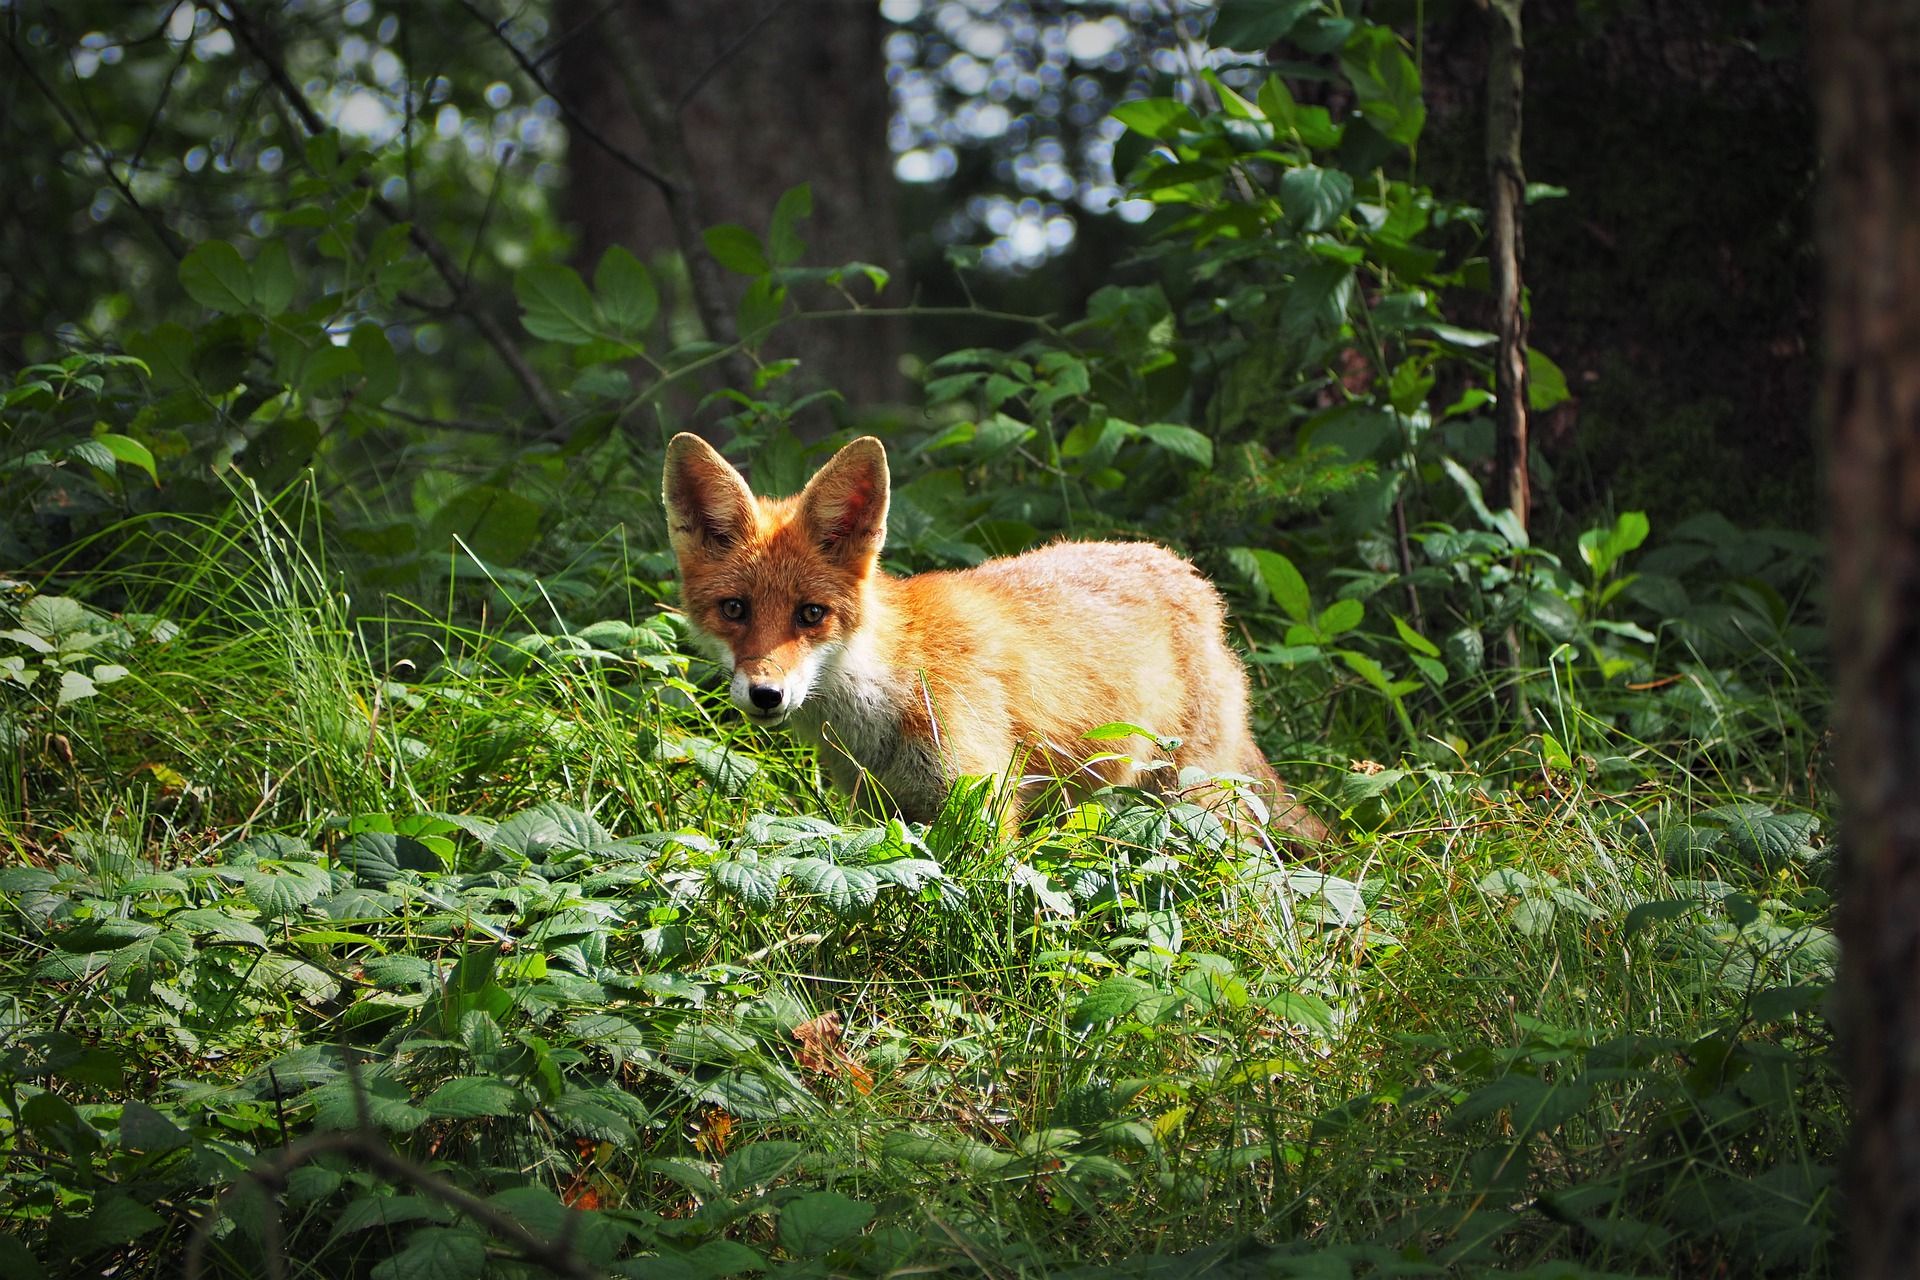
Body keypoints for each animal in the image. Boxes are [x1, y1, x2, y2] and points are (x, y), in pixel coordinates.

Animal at [660, 435, 1320, 844]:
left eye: (811, 614)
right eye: (735, 609)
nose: (765, 694)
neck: (891, 688)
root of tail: (1197, 582)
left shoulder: (981, 803)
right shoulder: (883, 811)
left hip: (1196, 799)